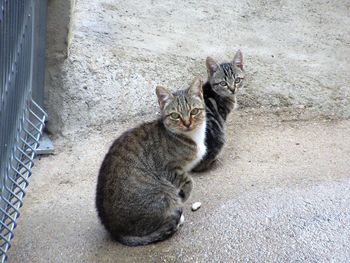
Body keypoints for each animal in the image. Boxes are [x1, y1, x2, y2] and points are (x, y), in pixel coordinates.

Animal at [94, 78, 206, 248]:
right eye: (175, 116)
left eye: (194, 111)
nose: (187, 123)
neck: (192, 137)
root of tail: (115, 231)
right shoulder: (168, 169)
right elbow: (189, 181)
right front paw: (185, 195)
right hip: (164, 192)